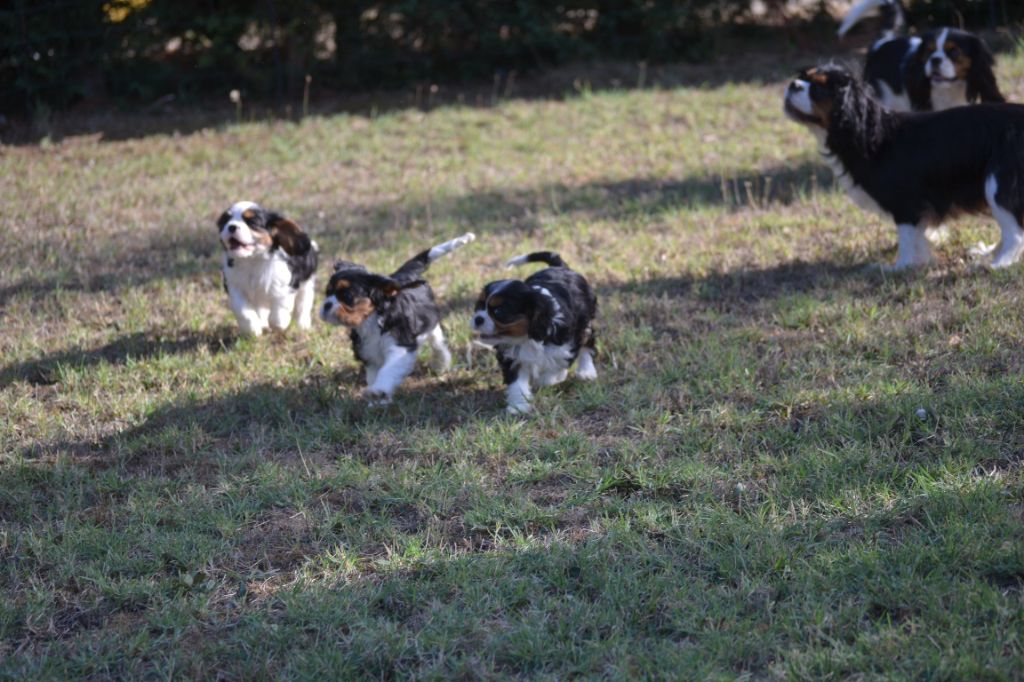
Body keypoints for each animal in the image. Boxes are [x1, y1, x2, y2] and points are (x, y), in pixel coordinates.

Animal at [212, 199, 315, 333]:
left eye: (252, 222)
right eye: (225, 221)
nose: (231, 226)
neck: (252, 260)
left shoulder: (286, 285)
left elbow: (279, 309)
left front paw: (278, 324)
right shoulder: (234, 286)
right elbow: (243, 310)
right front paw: (252, 328)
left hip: (306, 284)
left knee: (303, 304)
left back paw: (303, 324)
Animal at [319, 233, 475, 403]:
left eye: (347, 296)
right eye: (327, 293)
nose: (326, 305)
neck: (372, 319)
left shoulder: (400, 346)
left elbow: (388, 370)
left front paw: (378, 391)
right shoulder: (369, 354)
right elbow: (374, 375)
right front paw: (379, 399)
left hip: (431, 321)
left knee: (438, 342)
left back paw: (440, 363)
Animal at [468, 251, 598, 413]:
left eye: (499, 311)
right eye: (479, 305)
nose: (478, 319)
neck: (526, 337)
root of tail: (560, 267)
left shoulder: (567, 344)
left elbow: (557, 364)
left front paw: (550, 378)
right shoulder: (512, 357)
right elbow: (517, 383)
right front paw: (518, 406)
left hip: (585, 323)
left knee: (587, 344)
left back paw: (586, 371)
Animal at [782, 65, 1024, 270]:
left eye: (819, 89)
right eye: (803, 77)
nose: (793, 84)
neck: (871, 134)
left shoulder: (905, 203)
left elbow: (907, 239)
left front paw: (899, 268)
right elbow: (918, 238)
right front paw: (920, 262)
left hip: (997, 183)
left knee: (1015, 234)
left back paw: (996, 264)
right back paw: (988, 254)